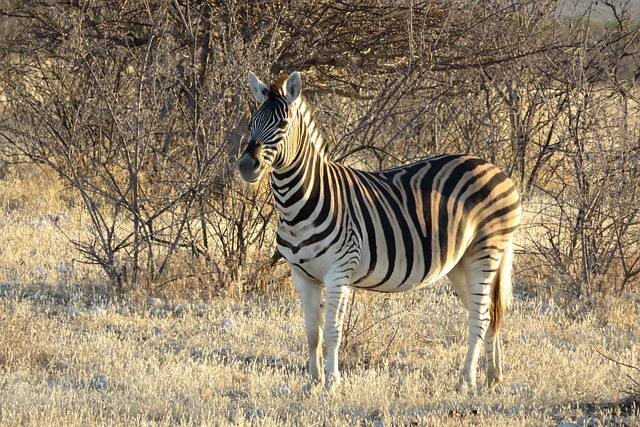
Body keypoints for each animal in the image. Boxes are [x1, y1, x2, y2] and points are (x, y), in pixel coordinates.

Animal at [238, 72, 524, 392]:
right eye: (251, 123)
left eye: (283, 125)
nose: (246, 166)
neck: (298, 203)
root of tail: (494, 167)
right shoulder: (302, 276)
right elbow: (312, 332)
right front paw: (312, 383)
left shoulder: (339, 272)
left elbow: (332, 330)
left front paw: (332, 384)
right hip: (461, 262)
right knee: (485, 312)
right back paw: (492, 377)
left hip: (485, 251)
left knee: (481, 317)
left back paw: (466, 380)